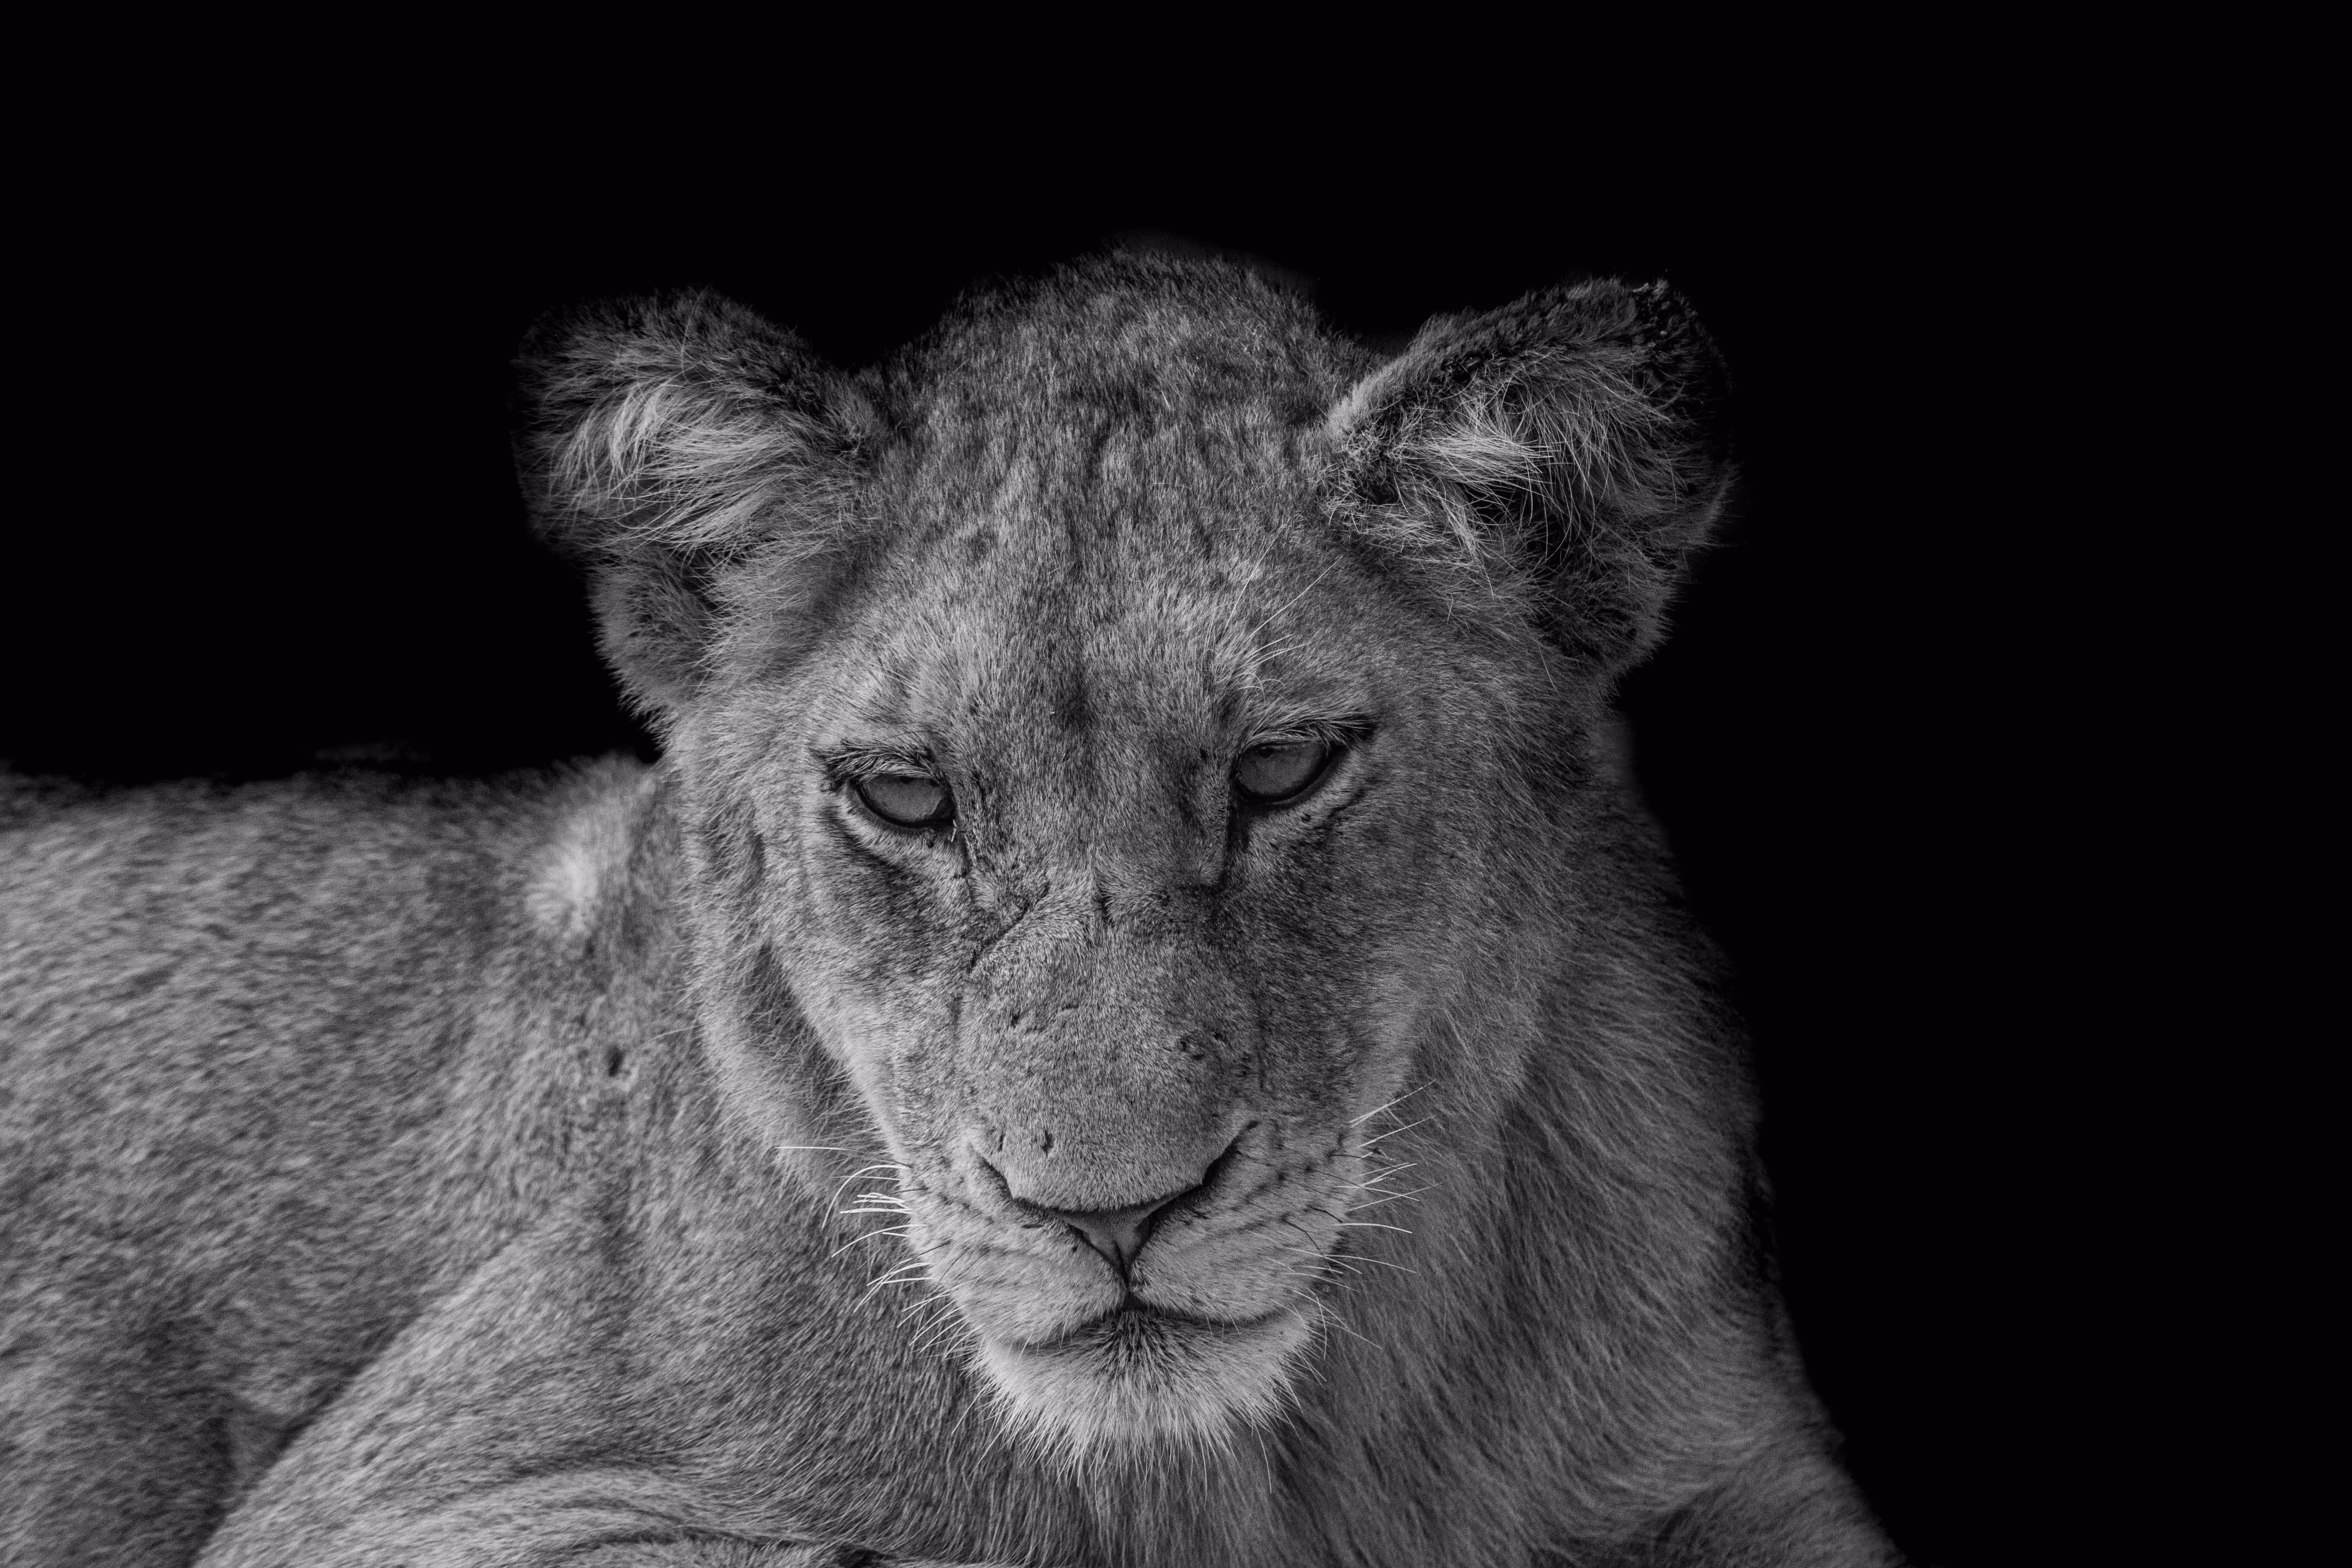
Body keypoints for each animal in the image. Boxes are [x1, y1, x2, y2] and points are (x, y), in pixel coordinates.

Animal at [0, 252, 1900, 1566]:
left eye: (1282, 768)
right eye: (908, 798)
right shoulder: (393, 1501)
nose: (1109, 1211)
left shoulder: (1743, 1463)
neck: (1263, 1466)